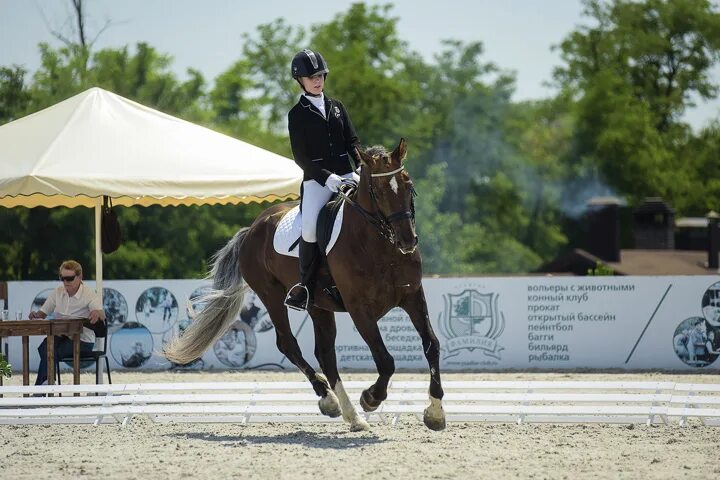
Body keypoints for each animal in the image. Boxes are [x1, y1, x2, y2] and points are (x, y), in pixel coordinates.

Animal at [166, 138, 444, 432]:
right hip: (271, 296)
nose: (407, 241)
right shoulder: (359, 309)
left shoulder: (413, 296)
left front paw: (435, 413)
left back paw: (351, 415)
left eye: (408, 184)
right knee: (288, 344)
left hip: (318, 306)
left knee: (324, 354)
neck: (379, 244)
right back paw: (330, 401)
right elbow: (386, 360)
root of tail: (252, 228)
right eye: (378, 192)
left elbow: (431, 345)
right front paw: (370, 398)